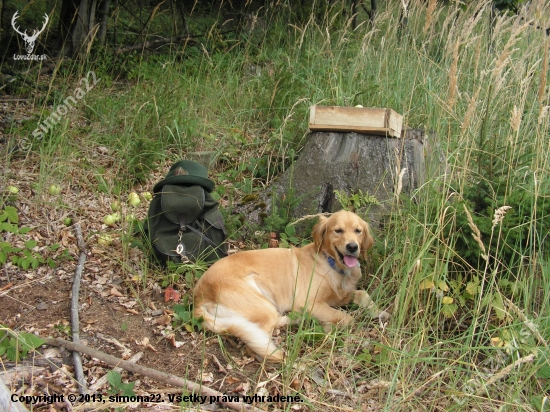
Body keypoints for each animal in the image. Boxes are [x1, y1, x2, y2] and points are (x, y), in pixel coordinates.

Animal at [193, 211, 388, 362]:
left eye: (358, 231)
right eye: (338, 230)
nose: (353, 247)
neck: (331, 264)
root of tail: (199, 297)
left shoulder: (340, 295)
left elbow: (362, 294)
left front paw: (379, 312)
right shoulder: (308, 303)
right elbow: (346, 318)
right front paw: (333, 327)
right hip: (262, 303)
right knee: (254, 340)